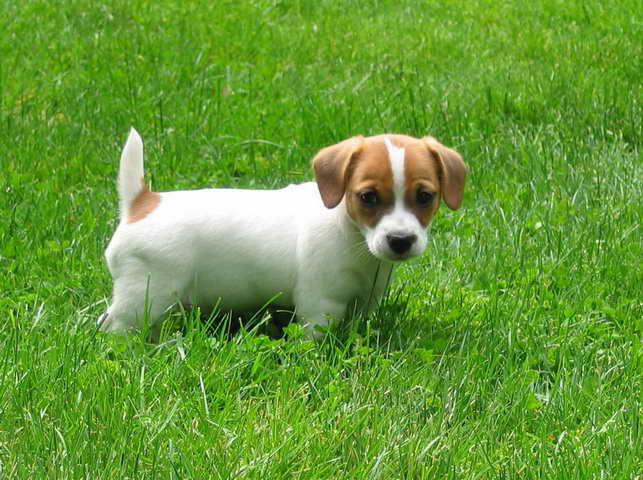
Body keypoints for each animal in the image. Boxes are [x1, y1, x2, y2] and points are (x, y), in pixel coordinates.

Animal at [99, 127, 468, 338]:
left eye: (425, 196)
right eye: (368, 197)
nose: (401, 241)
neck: (350, 234)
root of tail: (142, 202)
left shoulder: (363, 302)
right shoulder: (320, 307)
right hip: (144, 296)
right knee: (117, 326)